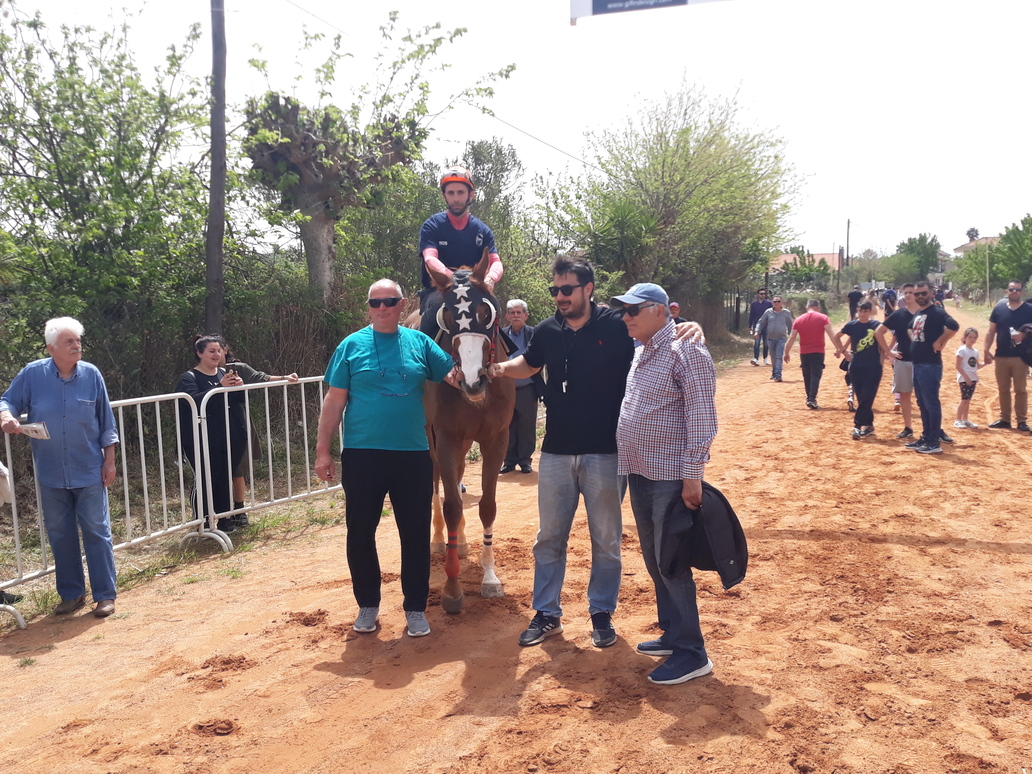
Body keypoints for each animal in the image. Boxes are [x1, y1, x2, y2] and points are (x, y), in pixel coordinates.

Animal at [419, 248, 516, 613]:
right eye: (447, 314)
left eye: (485, 311)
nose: (473, 380)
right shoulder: (445, 437)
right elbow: (451, 505)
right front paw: (452, 588)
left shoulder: (496, 439)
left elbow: (487, 505)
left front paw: (489, 577)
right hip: (430, 437)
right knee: (437, 485)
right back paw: (440, 540)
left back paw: (458, 541)